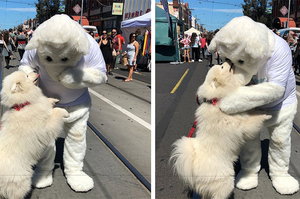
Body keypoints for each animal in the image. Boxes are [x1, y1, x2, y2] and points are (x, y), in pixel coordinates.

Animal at [0, 70, 68, 199]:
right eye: (26, 76)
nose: (36, 71)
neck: (24, 104)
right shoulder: (46, 128)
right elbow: (55, 113)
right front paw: (65, 112)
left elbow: (46, 101)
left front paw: (55, 99)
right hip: (20, 184)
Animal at [170, 62, 270, 199]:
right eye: (222, 67)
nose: (228, 61)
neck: (216, 100)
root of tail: (194, 168)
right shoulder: (242, 127)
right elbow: (254, 121)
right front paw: (266, 115)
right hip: (225, 183)